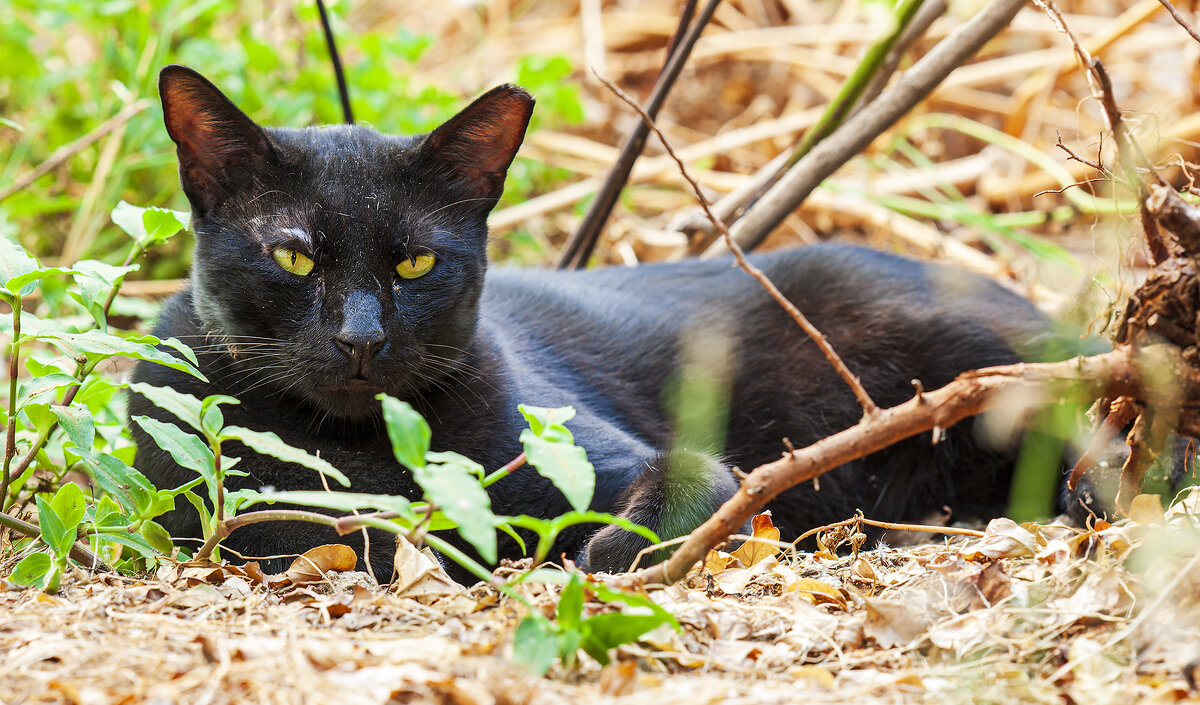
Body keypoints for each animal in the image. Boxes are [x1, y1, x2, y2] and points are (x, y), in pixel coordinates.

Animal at [129, 65, 1051, 580]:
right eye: (294, 258)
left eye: (415, 263)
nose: (362, 339)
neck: (364, 445)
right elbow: (317, 531)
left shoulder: (629, 461)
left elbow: (679, 495)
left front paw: (587, 561)